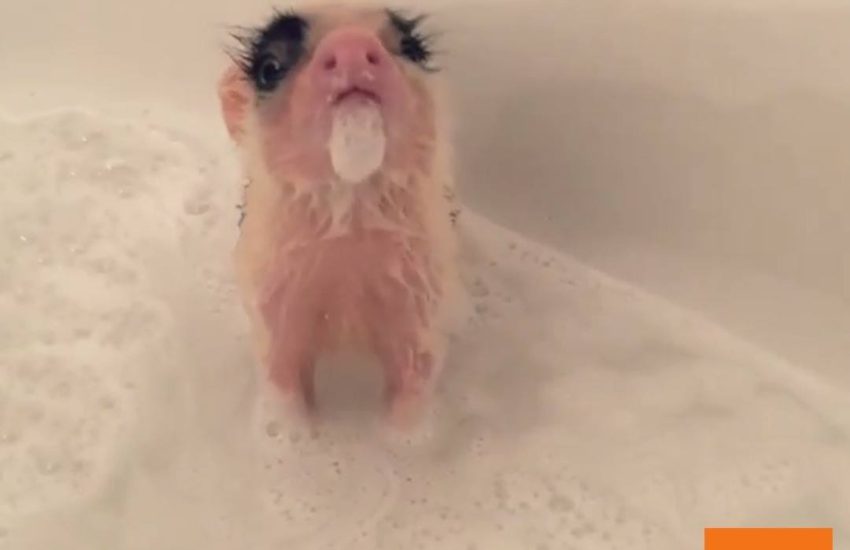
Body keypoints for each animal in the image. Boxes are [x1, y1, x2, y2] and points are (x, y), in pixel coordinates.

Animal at [217, 4, 462, 430]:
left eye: (410, 48)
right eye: (270, 67)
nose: (351, 44)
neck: (350, 216)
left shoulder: (424, 294)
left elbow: (415, 380)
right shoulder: (271, 293)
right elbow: (283, 384)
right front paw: (299, 432)